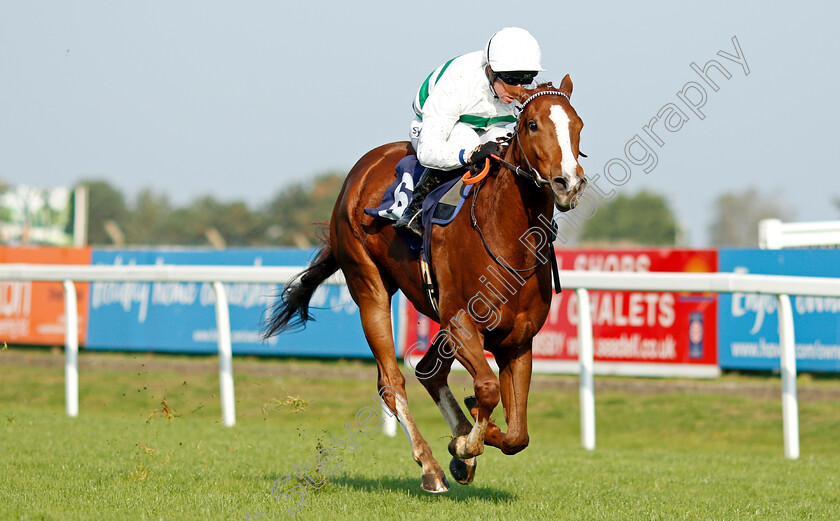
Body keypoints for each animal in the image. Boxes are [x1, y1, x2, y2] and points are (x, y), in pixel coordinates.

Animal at [266, 73, 588, 492]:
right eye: (532, 124)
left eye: (578, 125)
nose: (569, 183)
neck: (507, 238)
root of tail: (362, 168)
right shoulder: (461, 322)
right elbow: (487, 390)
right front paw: (465, 443)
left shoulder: (517, 338)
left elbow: (518, 435)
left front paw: (471, 440)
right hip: (369, 285)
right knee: (392, 381)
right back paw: (431, 467)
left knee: (428, 371)